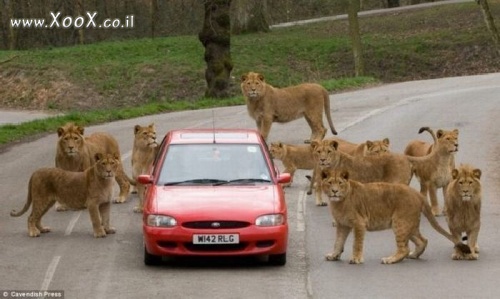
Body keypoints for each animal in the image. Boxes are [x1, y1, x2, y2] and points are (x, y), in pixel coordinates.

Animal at [322, 169, 470, 264]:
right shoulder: (342, 225)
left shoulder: (359, 223)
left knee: (404, 248)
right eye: (329, 183)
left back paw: (390, 259)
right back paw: (414, 255)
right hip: (409, 224)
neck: (338, 202)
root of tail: (417, 194)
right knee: (422, 240)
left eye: (340, 183)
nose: (334, 191)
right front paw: (333, 255)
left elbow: (356, 243)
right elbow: (338, 241)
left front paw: (356, 259)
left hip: (399, 223)